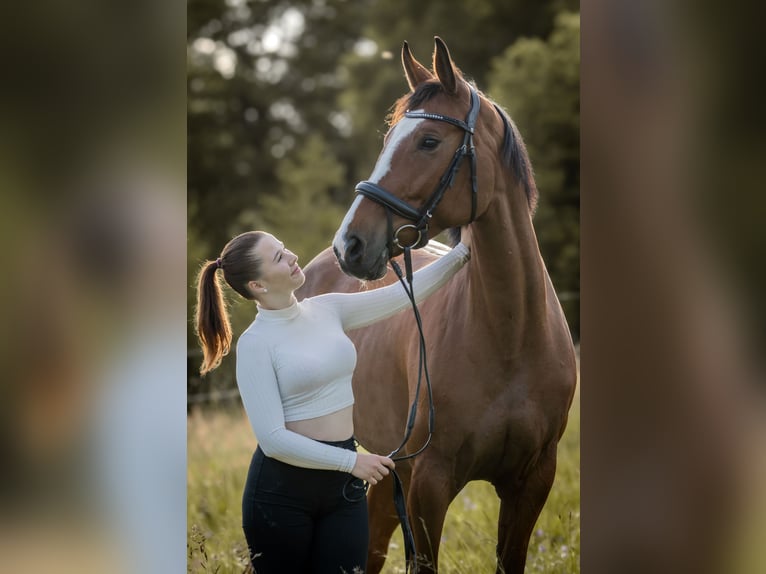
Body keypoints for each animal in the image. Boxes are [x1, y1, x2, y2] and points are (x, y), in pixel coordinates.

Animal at [296, 37, 577, 574]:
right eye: (389, 138)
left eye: (428, 141)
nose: (350, 245)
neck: (511, 334)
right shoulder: (430, 482)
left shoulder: (532, 482)